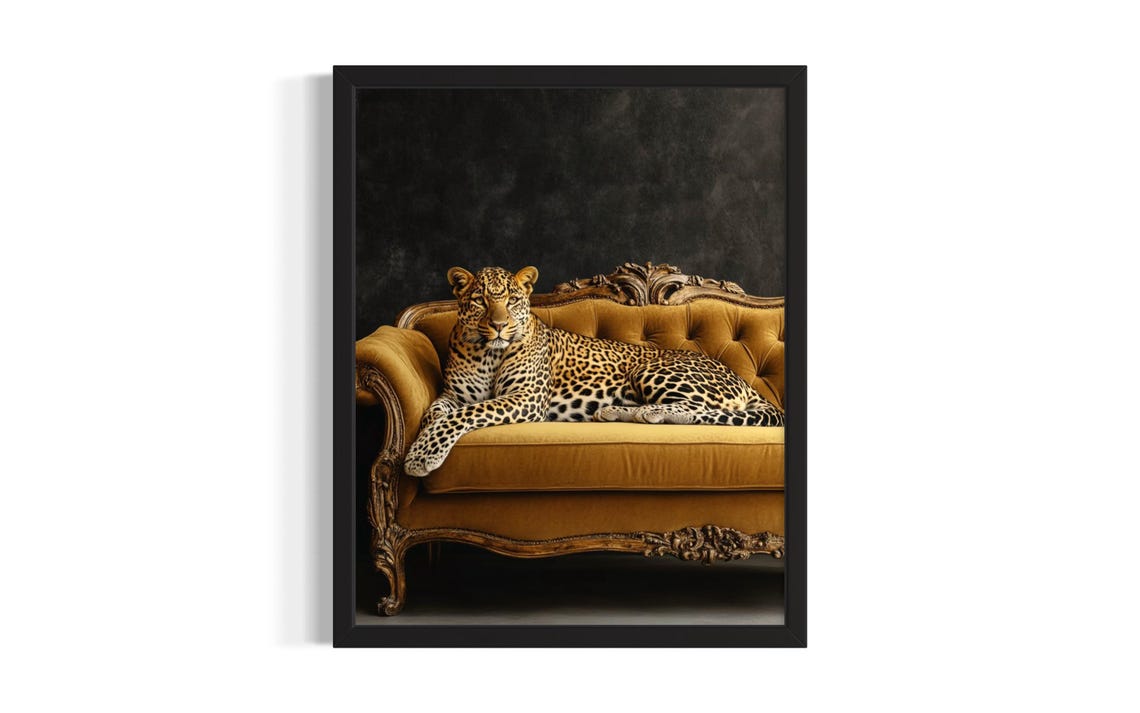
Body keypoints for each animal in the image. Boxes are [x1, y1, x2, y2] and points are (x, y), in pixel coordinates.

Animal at [402, 265, 785, 476]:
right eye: (480, 300)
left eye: (511, 300)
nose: (499, 326)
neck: (486, 352)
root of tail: (741, 379)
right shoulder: (452, 395)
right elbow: (437, 413)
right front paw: (424, 442)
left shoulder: (526, 398)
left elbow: (466, 414)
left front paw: (422, 457)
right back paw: (613, 412)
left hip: (652, 369)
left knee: (698, 410)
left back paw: (647, 413)